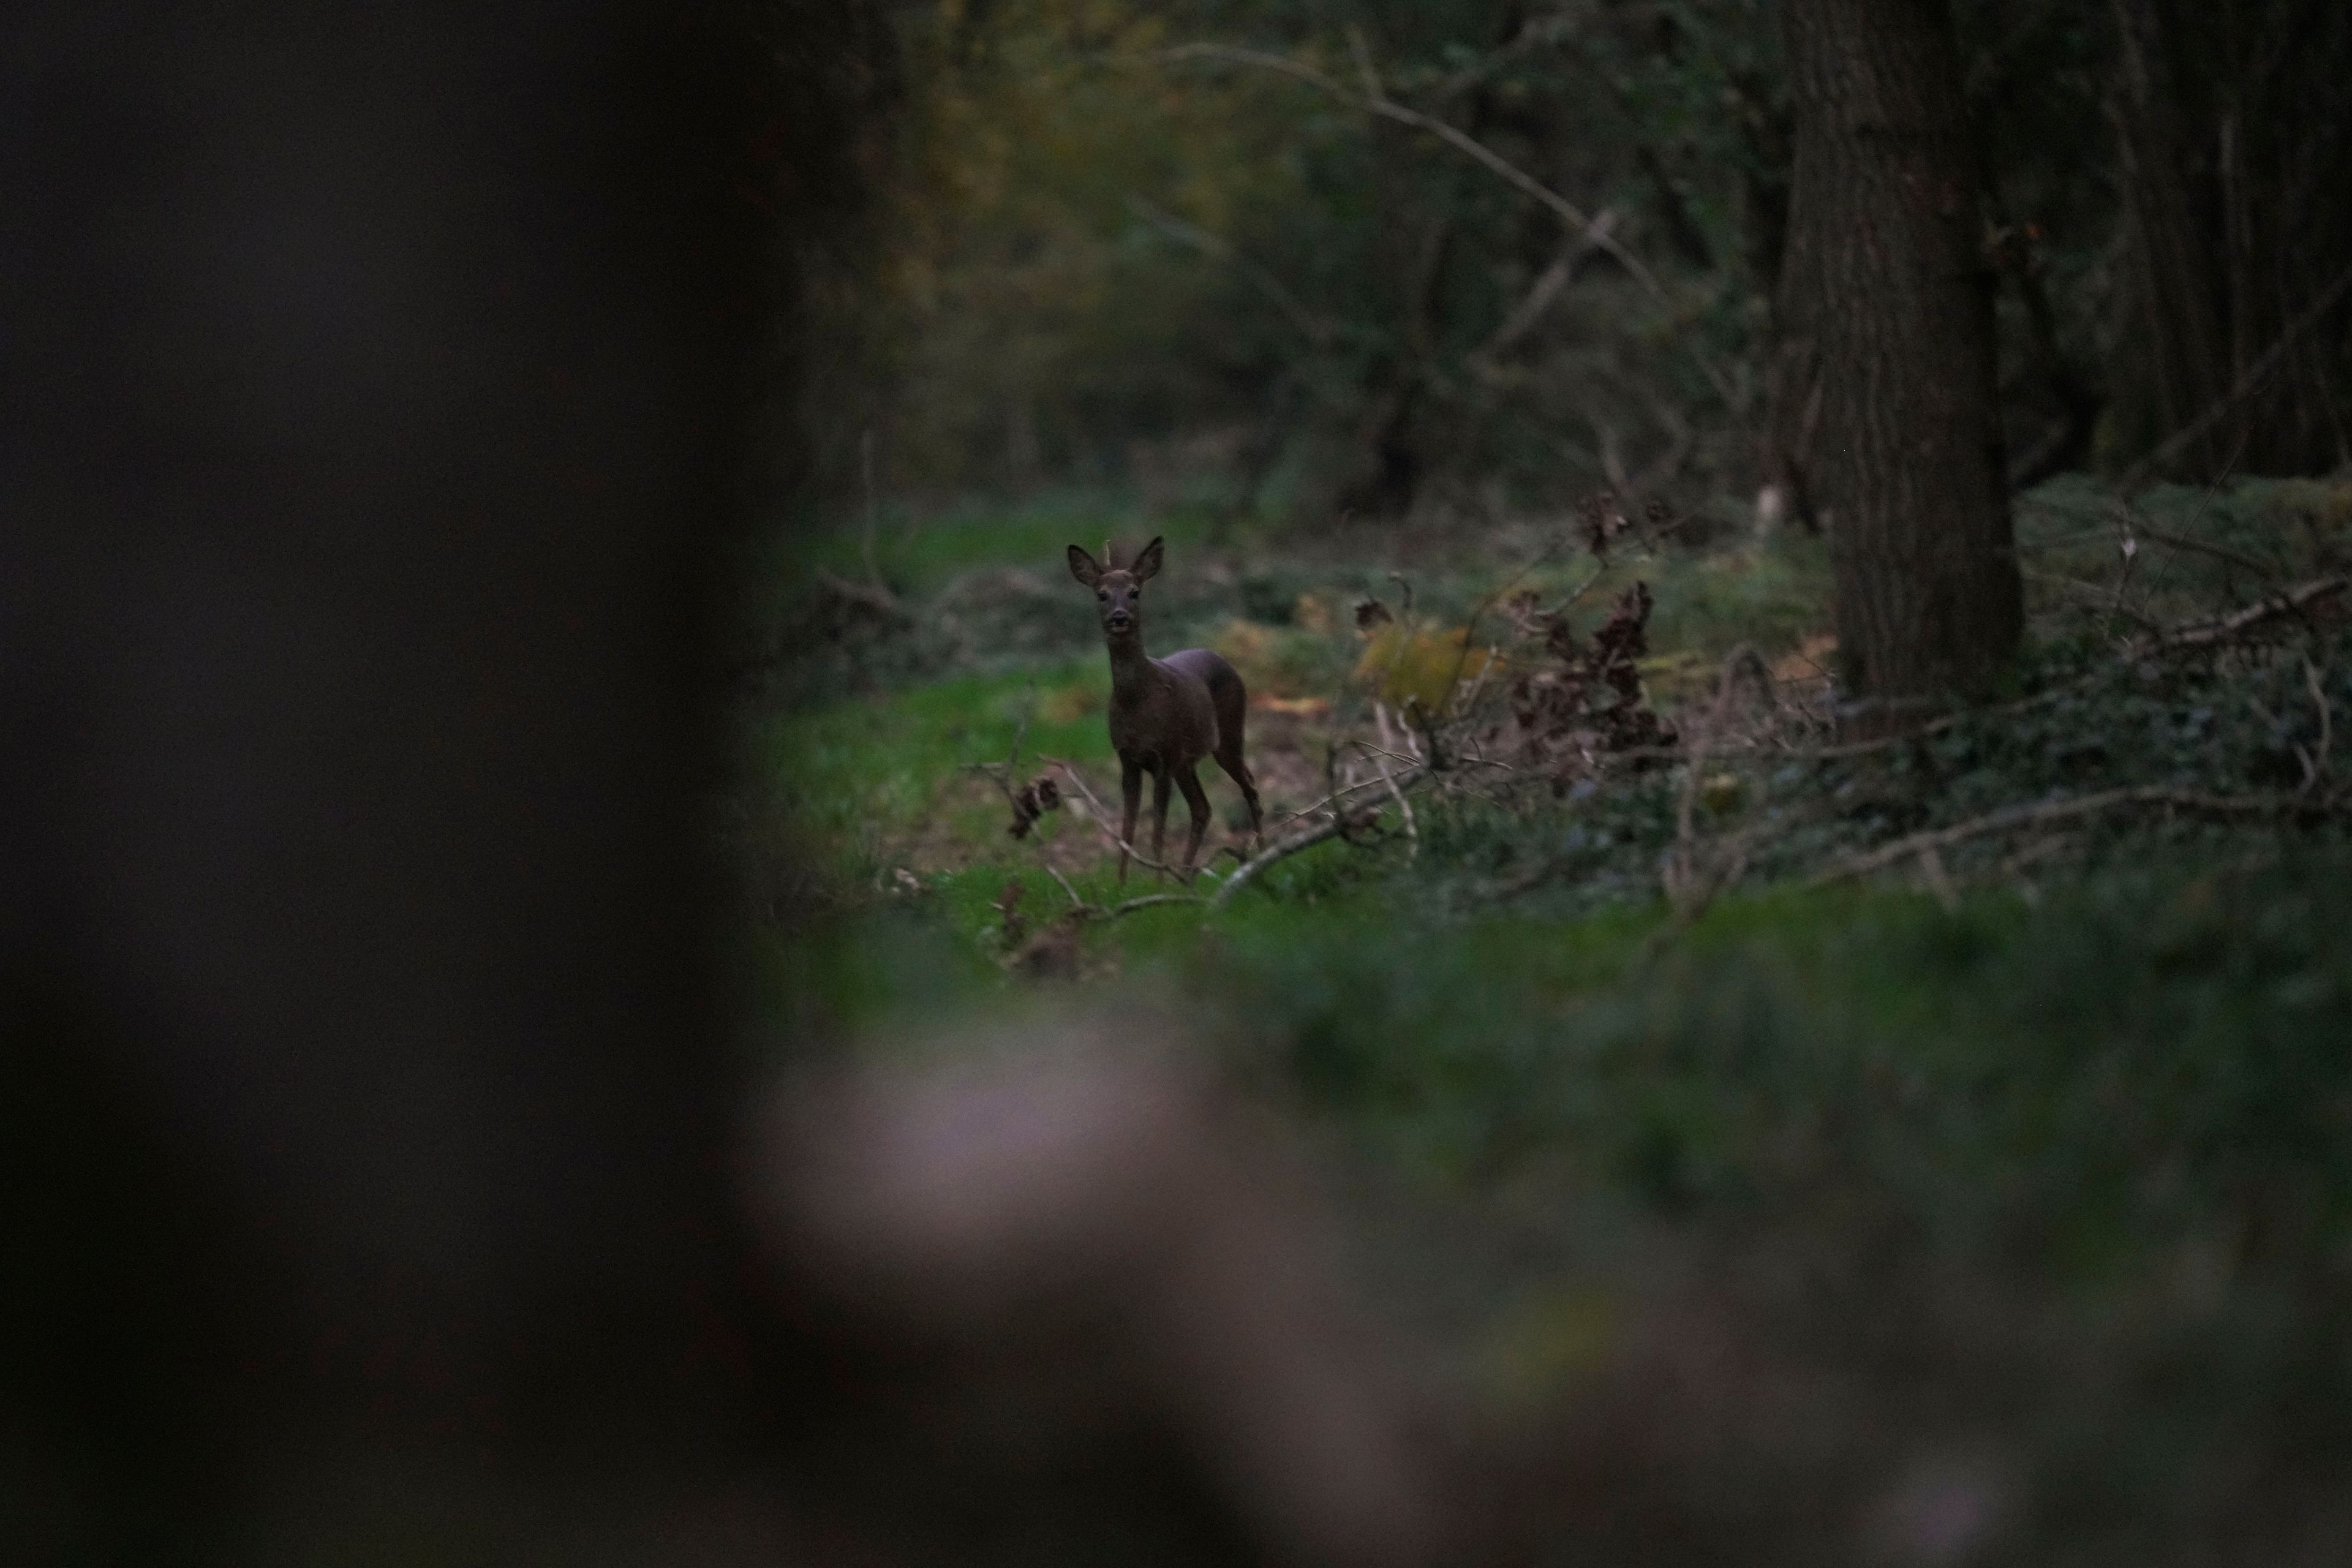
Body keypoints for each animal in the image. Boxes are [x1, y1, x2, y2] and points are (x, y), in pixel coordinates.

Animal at [1072, 540, 1270, 884]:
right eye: (1102, 594)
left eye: (1135, 592)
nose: (1120, 617)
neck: (1136, 702)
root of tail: (1223, 659)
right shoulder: (1128, 758)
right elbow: (1127, 829)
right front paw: (1123, 886)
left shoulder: (1163, 756)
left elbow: (1157, 831)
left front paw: (1157, 883)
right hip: (1186, 760)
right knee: (1202, 808)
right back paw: (1187, 875)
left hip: (1228, 736)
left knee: (1249, 785)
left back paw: (1260, 854)